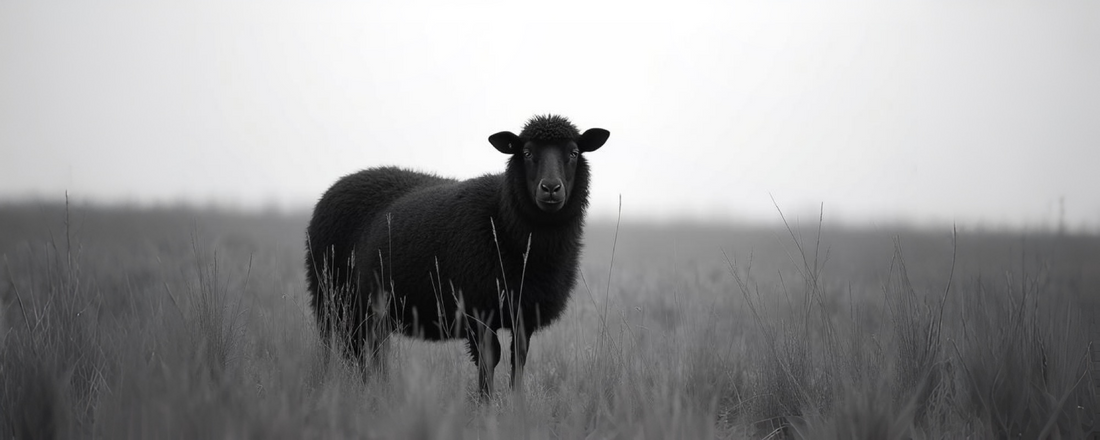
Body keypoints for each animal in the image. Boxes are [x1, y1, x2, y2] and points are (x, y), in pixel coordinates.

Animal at [305, 115, 610, 396]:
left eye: (573, 152)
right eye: (526, 152)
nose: (550, 188)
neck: (503, 220)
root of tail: (335, 187)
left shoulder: (524, 312)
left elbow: (518, 360)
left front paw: (516, 404)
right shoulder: (478, 310)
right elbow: (489, 359)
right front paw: (486, 406)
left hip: (365, 310)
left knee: (369, 350)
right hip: (331, 300)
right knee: (345, 349)